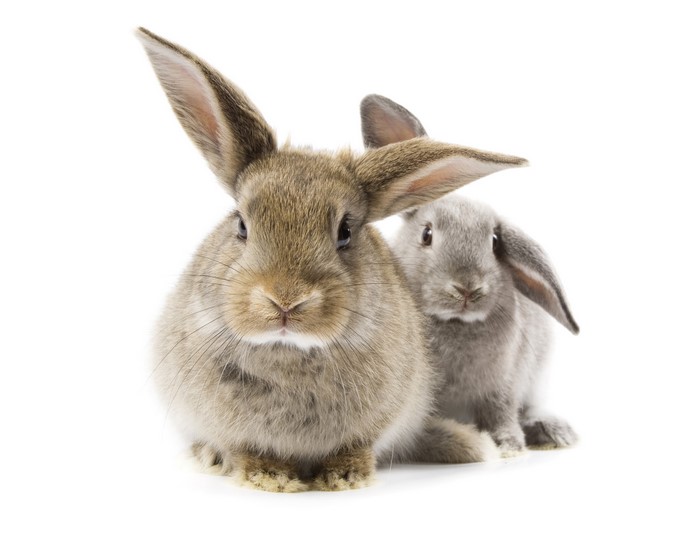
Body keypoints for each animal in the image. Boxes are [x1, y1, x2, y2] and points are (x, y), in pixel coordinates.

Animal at [136, 29, 528, 491]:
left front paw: (344, 476)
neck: (289, 352)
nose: (285, 301)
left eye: (345, 232)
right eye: (242, 224)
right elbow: (248, 449)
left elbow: (355, 446)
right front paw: (270, 477)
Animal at [361, 94, 579, 456]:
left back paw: (551, 431)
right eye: (426, 235)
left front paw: (507, 444)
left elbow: (500, 411)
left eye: (495, 243)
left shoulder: (503, 384)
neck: (454, 324)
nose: (467, 288)